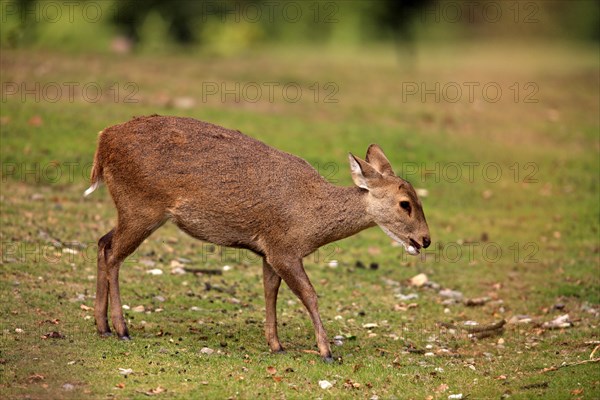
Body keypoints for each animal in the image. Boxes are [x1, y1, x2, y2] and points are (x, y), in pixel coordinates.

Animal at [85, 115, 432, 362]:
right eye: (405, 203)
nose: (426, 239)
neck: (312, 221)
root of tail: (102, 141)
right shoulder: (283, 248)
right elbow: (309, 294)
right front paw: (327, 351)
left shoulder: (268, 250)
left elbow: (270, 291)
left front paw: (276, 344)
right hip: (141, 206)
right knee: (114, 254)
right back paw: (121, 328)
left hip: (133, 210)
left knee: (102, 242)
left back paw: (102, 326)